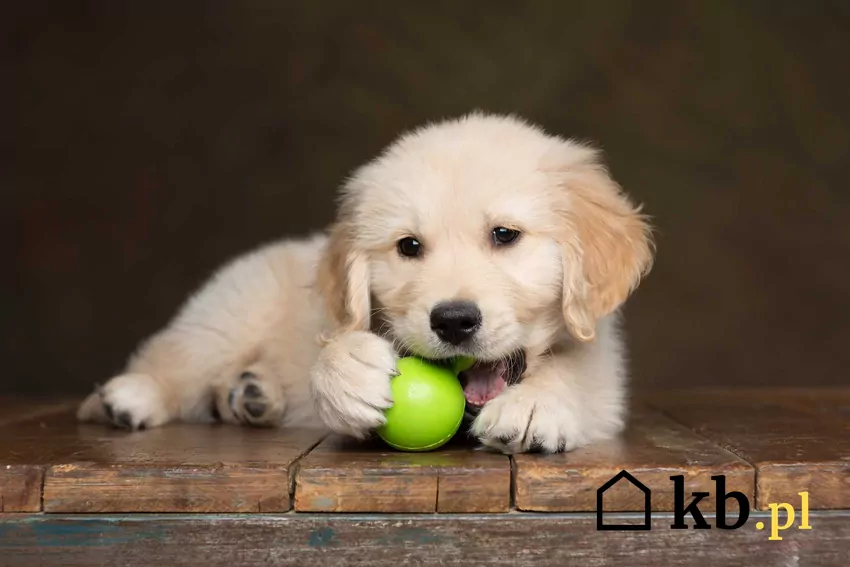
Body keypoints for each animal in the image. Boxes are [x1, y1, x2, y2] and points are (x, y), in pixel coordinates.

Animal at [78, 113, 648, 454]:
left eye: (504, 235)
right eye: (409, 247)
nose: (454, 321)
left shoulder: (606, 374)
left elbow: (577, 373)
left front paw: (535, 403)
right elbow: (335, 347)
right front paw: (346, 371)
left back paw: (252, 396)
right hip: (231, 310)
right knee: (178, 358)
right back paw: (132, 395)